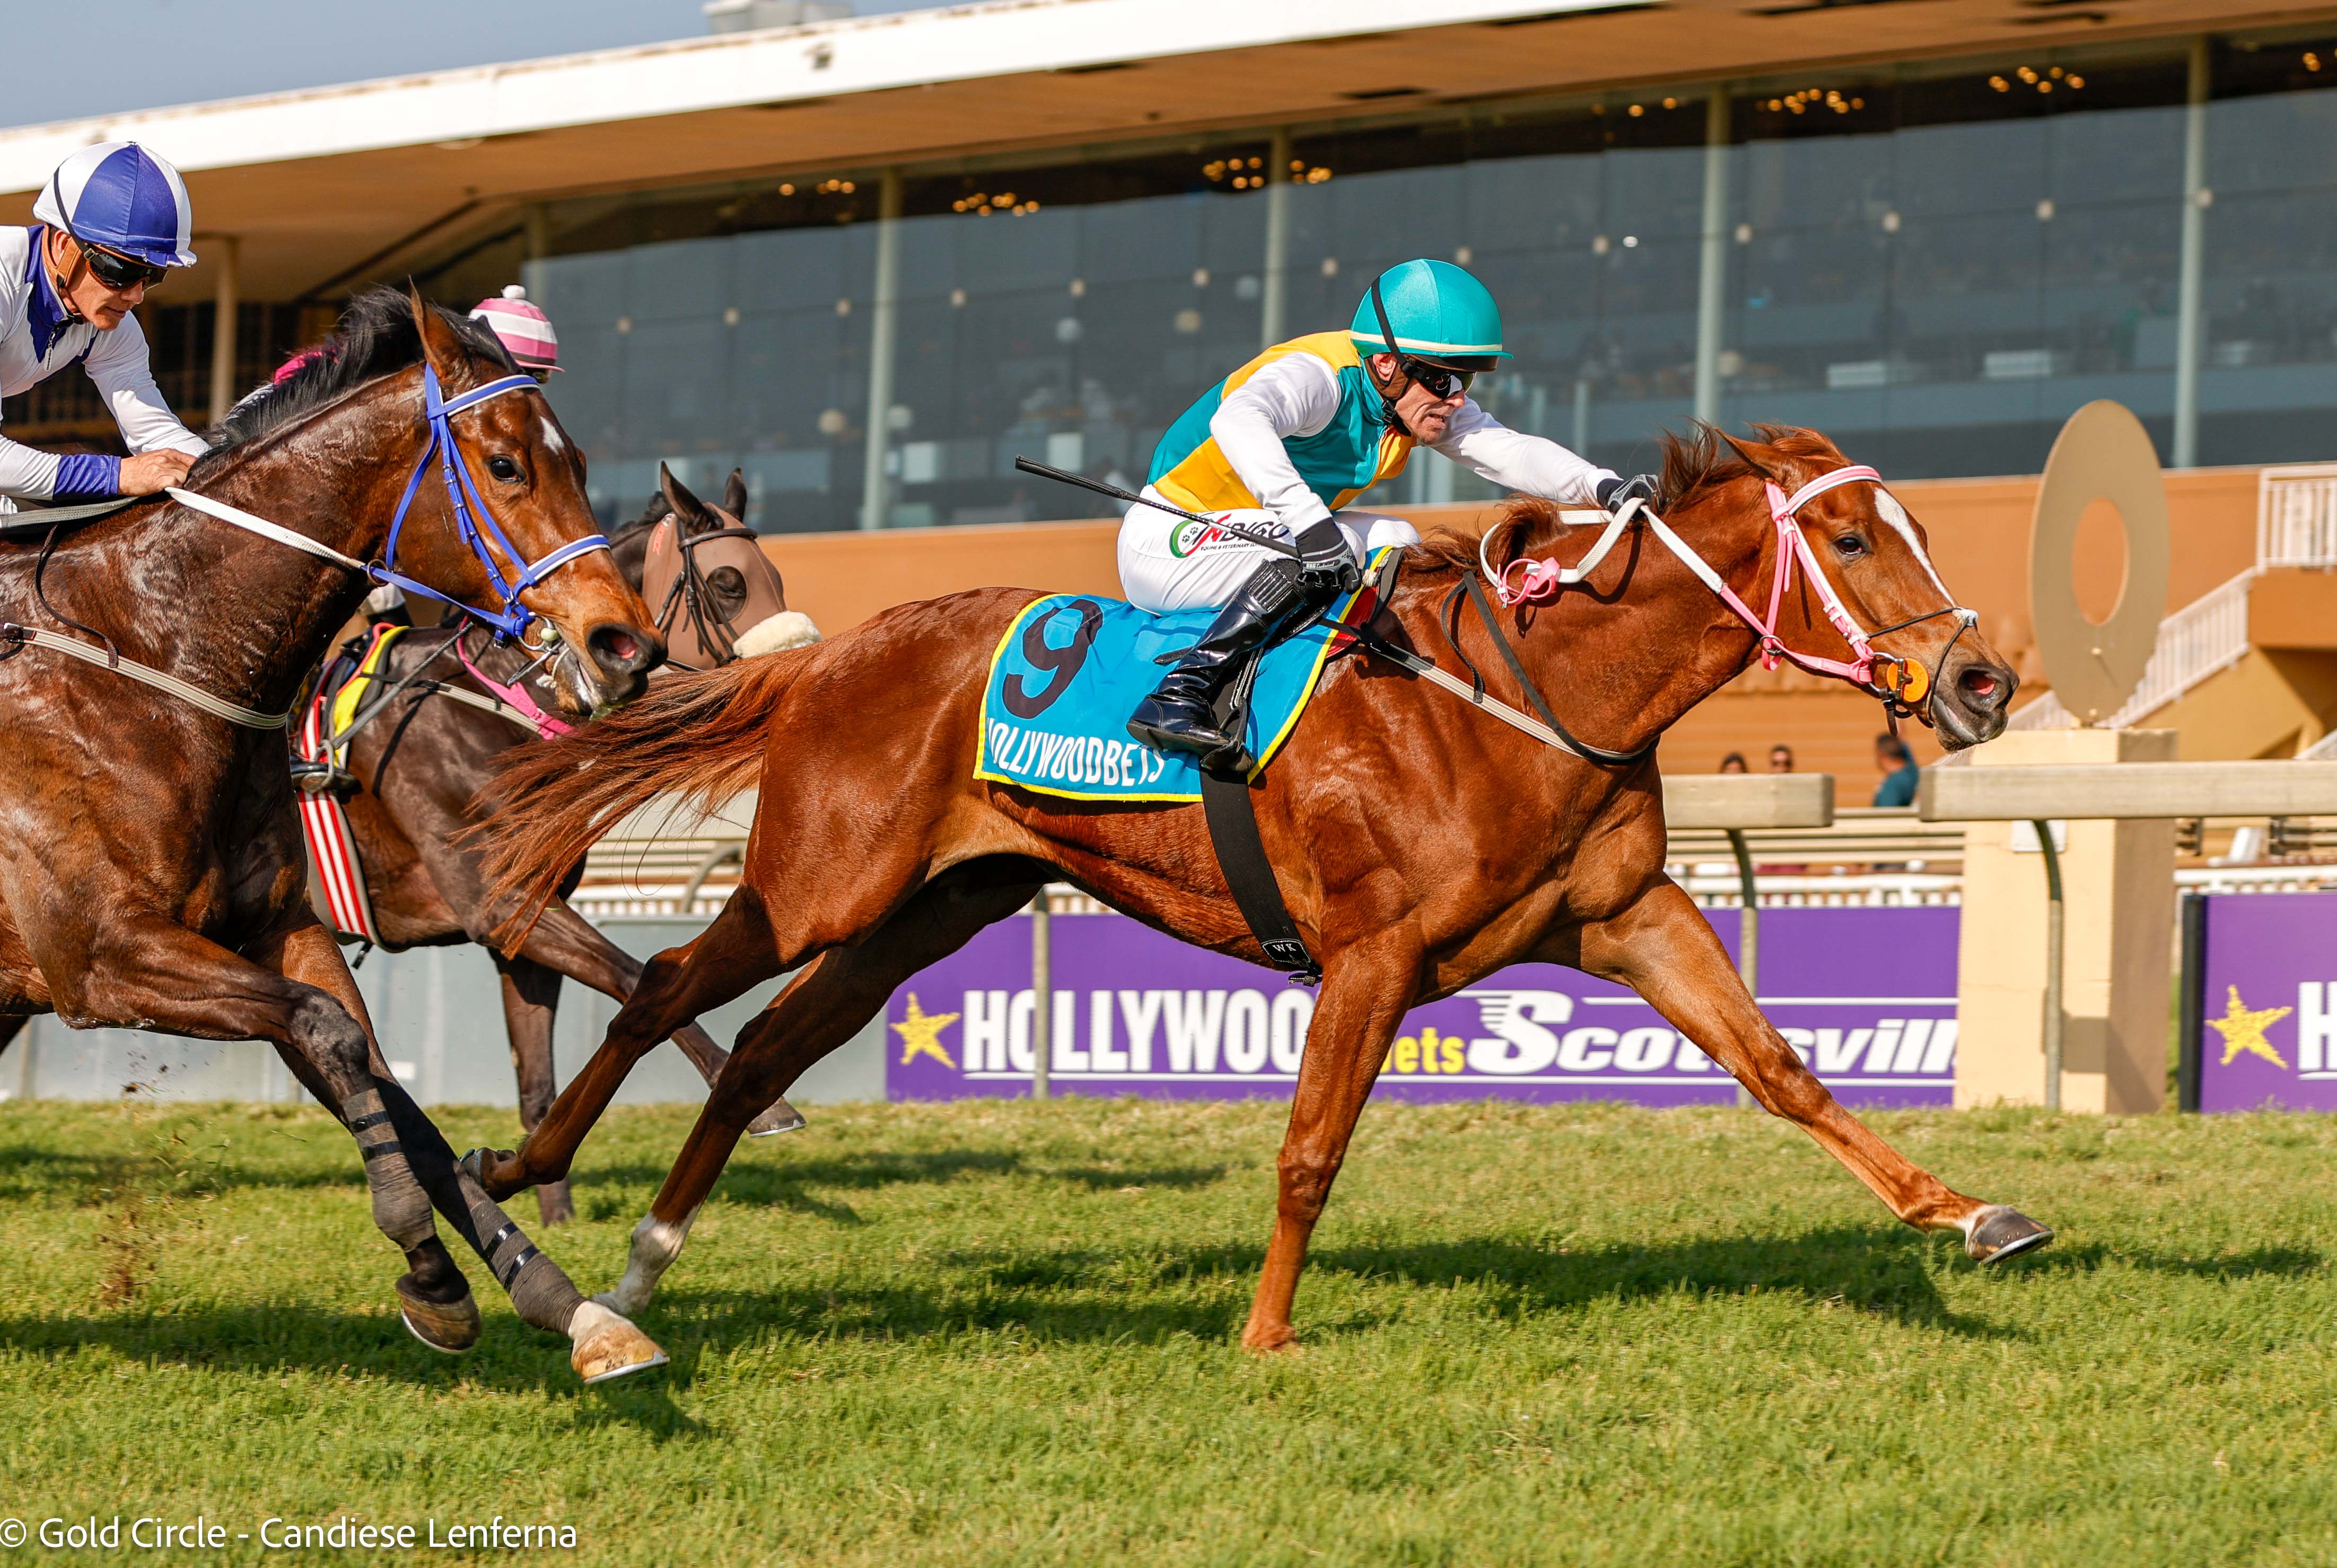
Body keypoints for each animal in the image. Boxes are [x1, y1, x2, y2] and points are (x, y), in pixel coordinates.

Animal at [0, 286, 671, 1383]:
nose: (625, 646)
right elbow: (333, 1037)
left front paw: (570, 1305)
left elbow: (390, 1088)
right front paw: (430, 1272)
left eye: (575, 459)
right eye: (505, 465)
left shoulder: (278, 928)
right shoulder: (104, 959)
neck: (152, 656)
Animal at [280, 465, 815, 1228]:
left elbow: (537, 1077)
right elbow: (635, 975)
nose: (802, 673)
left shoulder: (523, 931)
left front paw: (549, 1206)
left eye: (775, 574)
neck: (504, 704)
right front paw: (759, 1098)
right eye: (728, 582)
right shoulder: (499, 905)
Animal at [473, 423, 2050, 1352]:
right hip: (819, 886)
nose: (1983, 680)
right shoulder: (1370, 951)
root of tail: (825, 656)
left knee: (757, 1053)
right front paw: (1266, 1332)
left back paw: (640, 1266)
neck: (1527, 695)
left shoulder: (1623, 916)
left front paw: (1974, 1213)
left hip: (928, 909)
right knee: (666, 987)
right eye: (1849, 538)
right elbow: (1308, 1147)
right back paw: (517, 1175)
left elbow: (1782, 1068)